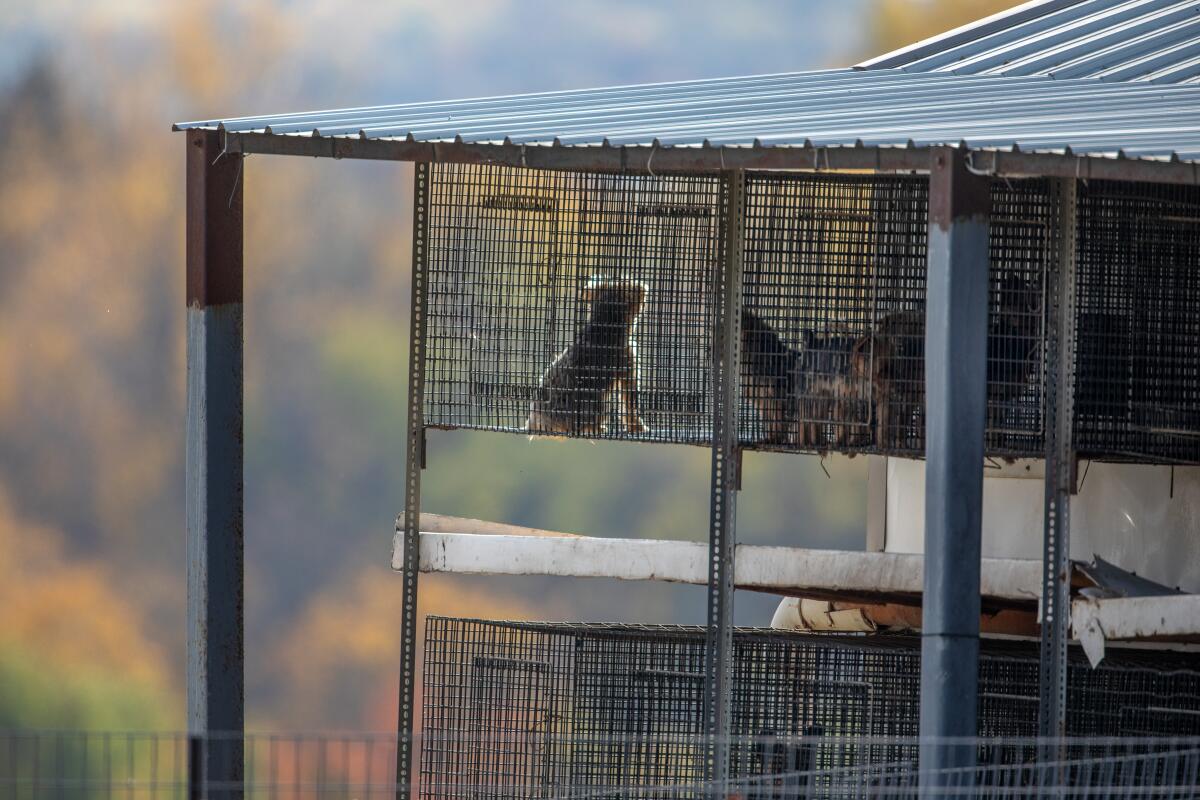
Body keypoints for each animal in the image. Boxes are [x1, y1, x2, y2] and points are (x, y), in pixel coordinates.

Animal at [525, 277, 648, 438]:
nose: (643, 288)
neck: (603, 327)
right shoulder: (629, 362)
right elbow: (630, 405)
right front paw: (638, 427)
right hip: (599, 403)